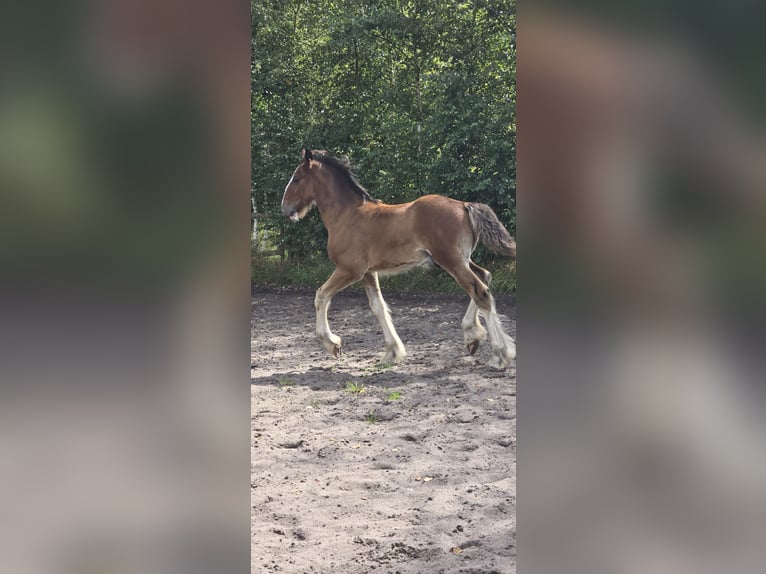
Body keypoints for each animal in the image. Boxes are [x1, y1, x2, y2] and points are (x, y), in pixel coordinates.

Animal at [280, 150, 516, 368]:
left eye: (297, 178)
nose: (285, 208)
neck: (347, 215)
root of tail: (464, 205)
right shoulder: (368, 273)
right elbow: (378, 307)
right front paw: (392, 352)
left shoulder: (350, 270)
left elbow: (321, 295)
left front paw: (333, 344)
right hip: (461, 259)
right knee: (484, 276)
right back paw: (472, 337)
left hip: (452, 260)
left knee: (480, 292)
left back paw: (500, 354)